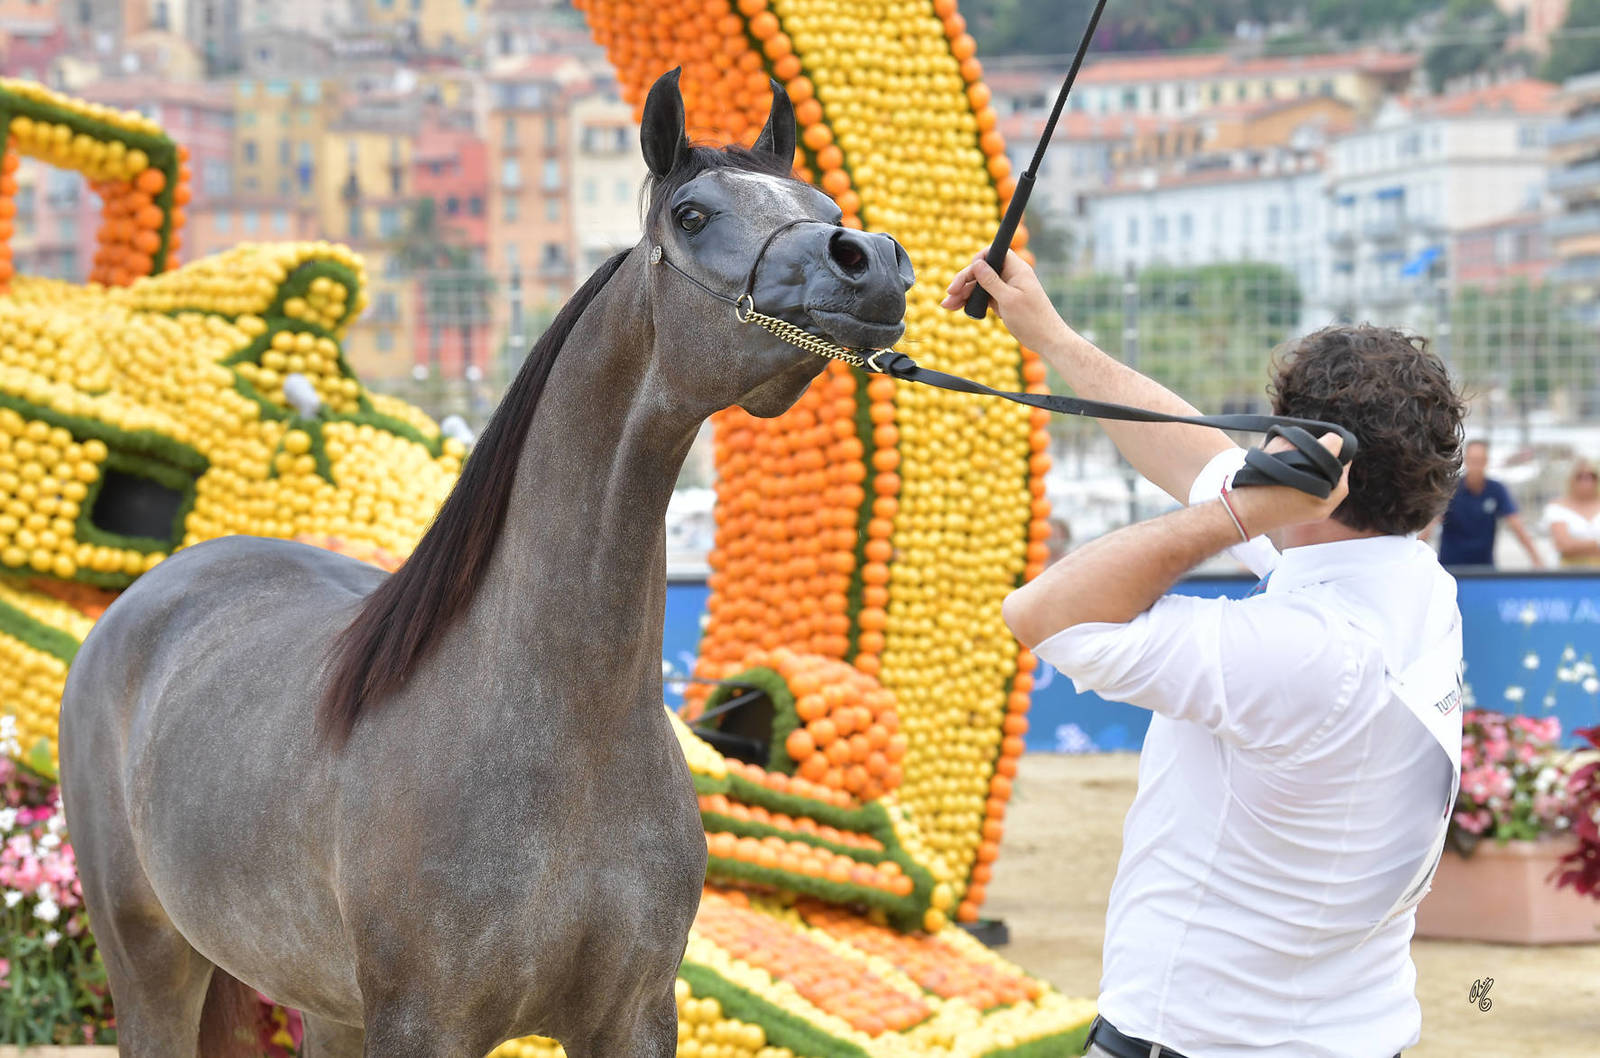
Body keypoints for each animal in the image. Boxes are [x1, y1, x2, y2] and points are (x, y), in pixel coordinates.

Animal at [58, 68, 913, 1058]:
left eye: (824, 205)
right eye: (692, 214)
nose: (870, 262)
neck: (563, 728)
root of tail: (145, 596)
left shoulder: (634, 1017)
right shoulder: (423, 1022)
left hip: (325, 1002)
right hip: (149, 963)